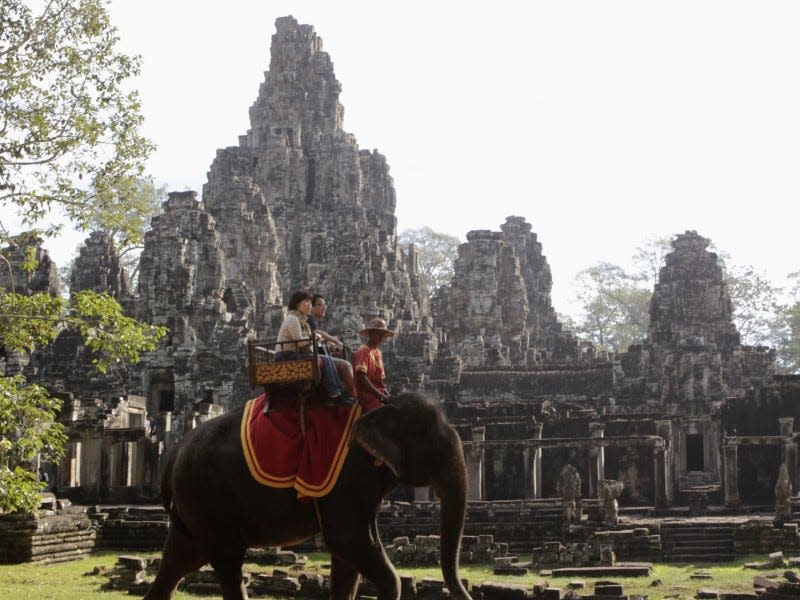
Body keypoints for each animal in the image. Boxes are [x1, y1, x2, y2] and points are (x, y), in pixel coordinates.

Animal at [142, 394, 476, 600]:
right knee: (226, 563)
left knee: (180, 560)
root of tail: (175, 452)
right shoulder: (348, 476)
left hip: (194, 507)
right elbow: (346, 540)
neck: (381, 403)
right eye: (435, 445)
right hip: (205, 496)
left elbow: (347, 558)